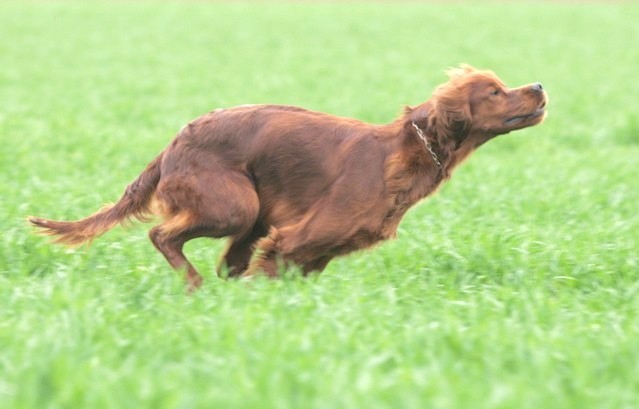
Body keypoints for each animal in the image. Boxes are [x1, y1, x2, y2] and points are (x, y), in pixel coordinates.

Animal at [30, 65, 548, 288]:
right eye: (495, 91)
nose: (540, 85)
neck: (403, 153)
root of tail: (174, 143)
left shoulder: (313, 252)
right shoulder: (297, 238)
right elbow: (269, 272)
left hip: (252, 216)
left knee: (219, 260)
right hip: (236, 207)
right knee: (163, 234)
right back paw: (194, 286)